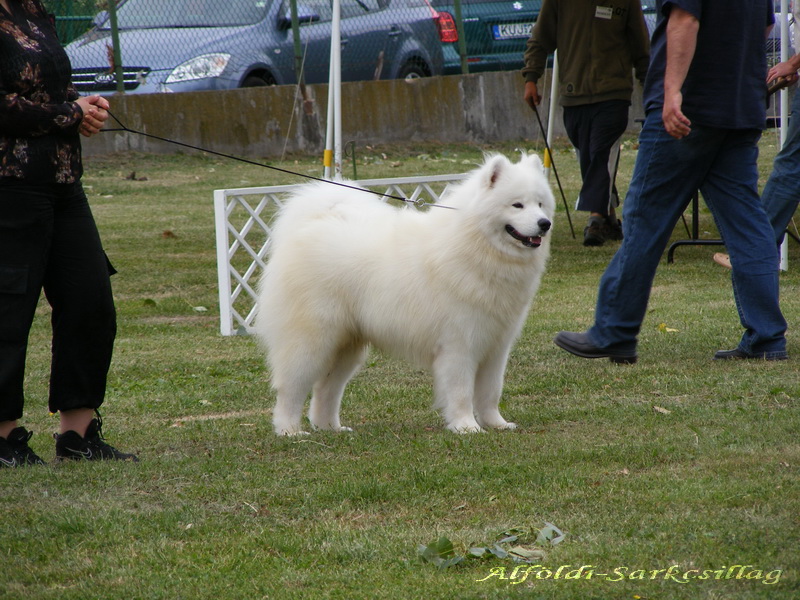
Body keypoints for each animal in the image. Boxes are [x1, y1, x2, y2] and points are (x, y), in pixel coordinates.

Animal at [256, 154, 556, 436]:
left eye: (540, 204)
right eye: (517, 205)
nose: (545, 224)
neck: (477, 245)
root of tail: (310, 225)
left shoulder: (496, 346)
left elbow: (491, 392)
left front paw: (497, 424)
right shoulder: (459, 345)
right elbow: (461, 392)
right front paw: (466, 427)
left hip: (346, 347)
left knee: (326, 388)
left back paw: (331, 428)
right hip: (311, 341)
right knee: (291, 388)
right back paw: (289, 430)